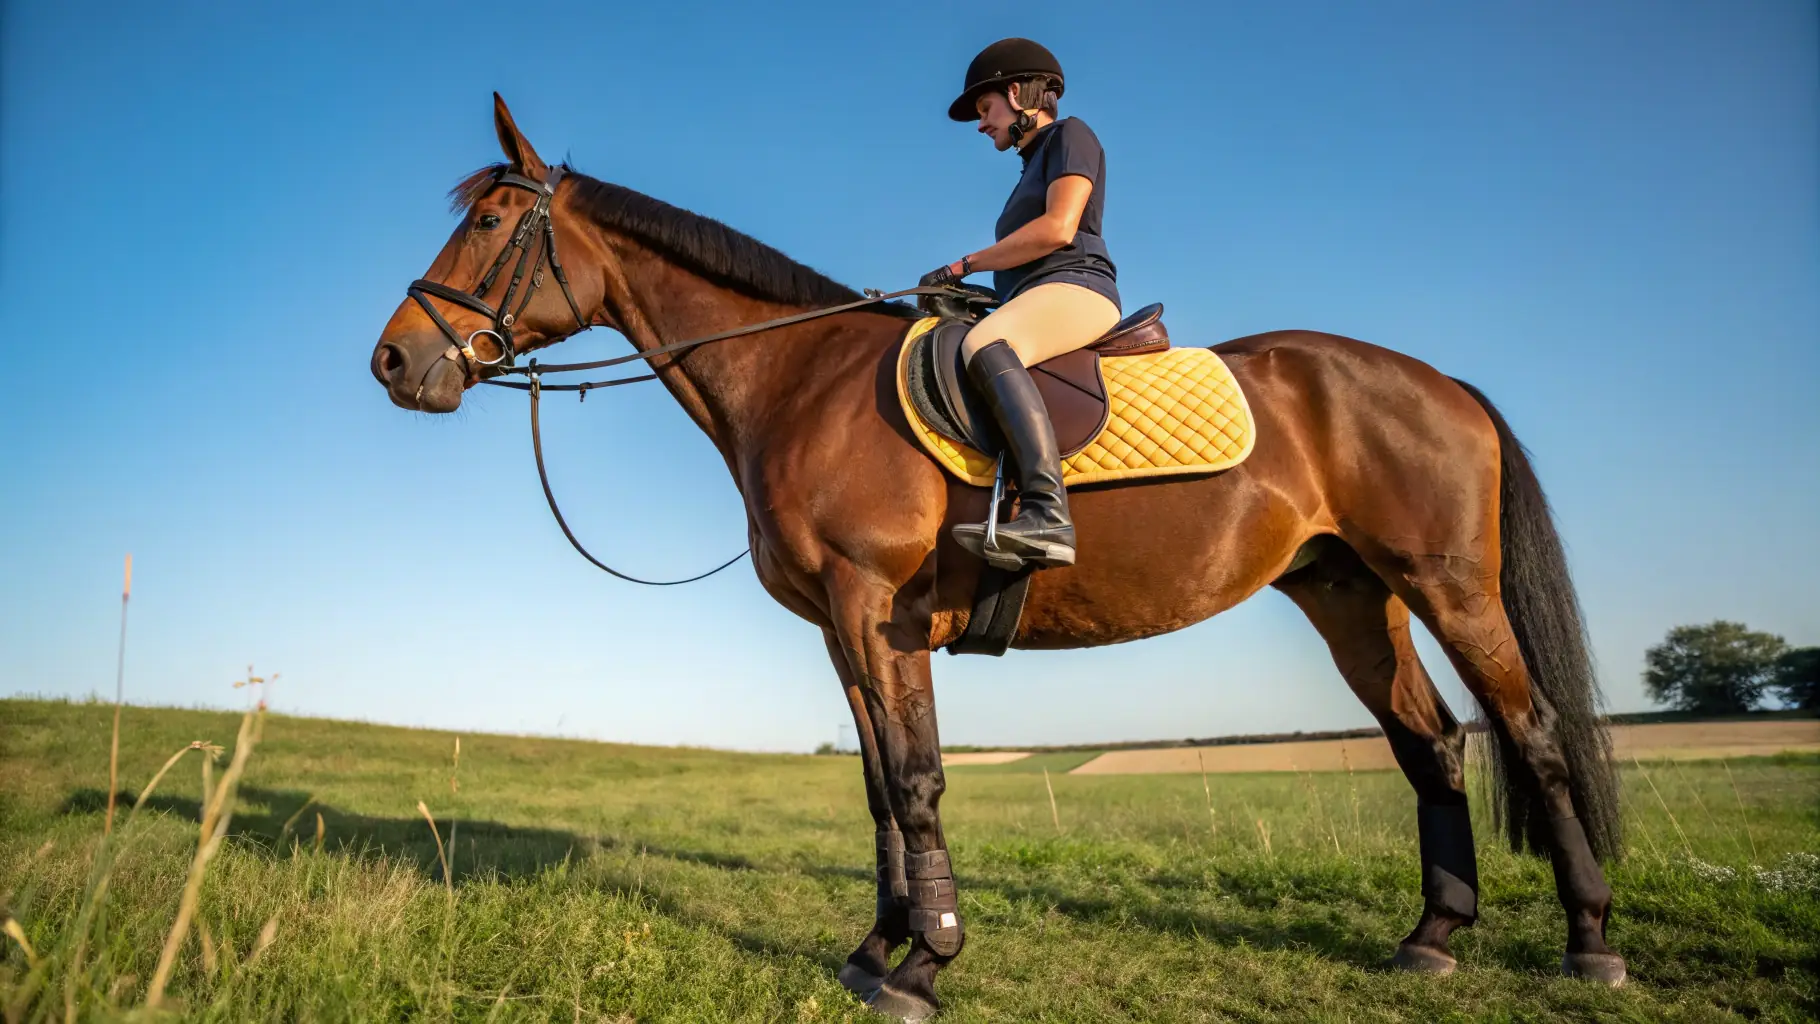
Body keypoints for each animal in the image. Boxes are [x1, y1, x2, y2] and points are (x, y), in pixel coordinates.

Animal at [370, 95, 1626, 1019]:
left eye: (488, 225)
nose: (393, 361)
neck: (799, 380)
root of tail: (1439, 381)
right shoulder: (841, 627)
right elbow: (879, 786)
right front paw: (876, 950)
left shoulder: (875, 609)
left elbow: (918, 779)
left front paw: (924, 962)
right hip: (1349, 594)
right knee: (1429, 744)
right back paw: (1430, 938)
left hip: (1448, 586)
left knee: (1530, 733)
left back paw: (1588, 943)